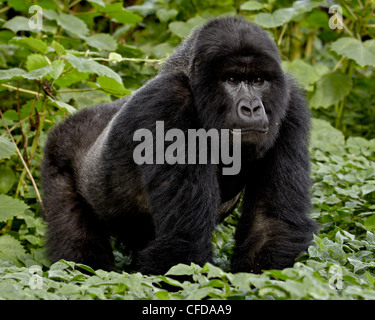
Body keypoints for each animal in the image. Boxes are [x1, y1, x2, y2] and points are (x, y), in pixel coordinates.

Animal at [41, 16, 318, 274]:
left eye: (259, 80)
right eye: (231, 79)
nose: (251, 108)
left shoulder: (290, 106)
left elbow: (270, 224)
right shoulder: (167, 101)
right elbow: (185, 237)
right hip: (58, 151)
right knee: (79, 251)